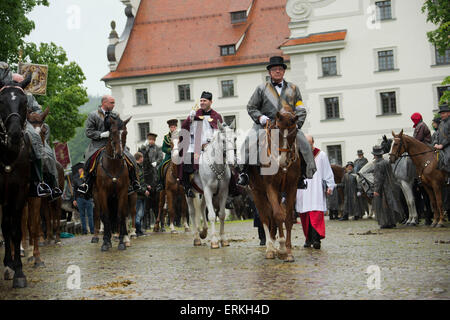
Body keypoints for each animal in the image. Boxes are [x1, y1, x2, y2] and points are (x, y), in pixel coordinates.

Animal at [92, 114, 132, 251]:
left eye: (125, 132)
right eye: (112, 132)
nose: (120, 154)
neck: (113, 165)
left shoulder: (123, 192)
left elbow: (120, 215)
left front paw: (121, 242)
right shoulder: (102, 193)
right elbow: (106, 216)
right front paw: (105, 242)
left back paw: (124, 237)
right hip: (97, 197)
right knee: (98, 215)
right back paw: (97, 237)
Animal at [172, 121, 234, 249]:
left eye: (235, 138)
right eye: (223, 140)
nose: (232, 162)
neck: (217, 168)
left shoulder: (223, 192)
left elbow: (221, 214)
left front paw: (223, 239)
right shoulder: (208, 191)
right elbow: (211, 215)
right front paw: (214, 241)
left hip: (202, 193)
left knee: (201, 208)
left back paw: (204, 232)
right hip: (189, 193)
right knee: (192, 212)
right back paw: (196, 238)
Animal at [248, 110, 300, 262]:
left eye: (294, 133)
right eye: (277, 130)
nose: (283, 160)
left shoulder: (291, 188)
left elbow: (287, 217)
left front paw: (287, 252)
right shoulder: (270, 187)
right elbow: (277, 215)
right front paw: (281, 248)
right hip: (257, 192)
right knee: (265, 217)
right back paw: (270, 248)